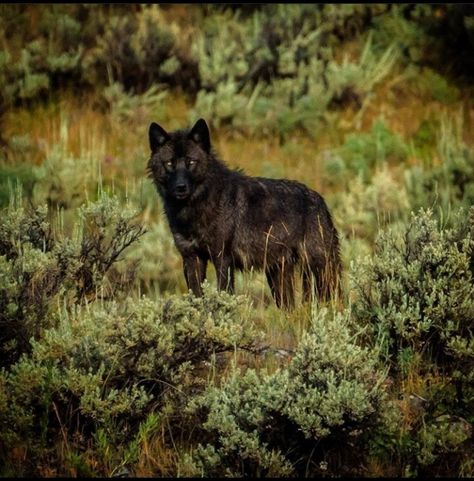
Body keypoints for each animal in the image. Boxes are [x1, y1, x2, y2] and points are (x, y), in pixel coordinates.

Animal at [146, 119, 338, 308]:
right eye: (169, 163)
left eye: (191, 162)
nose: (181, 187)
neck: (194, 209)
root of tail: (319, 199)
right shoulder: (191, 258)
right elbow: (196, 299)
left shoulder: (222, 258)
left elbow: (221, 297)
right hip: (279, 278)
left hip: (321, 271)